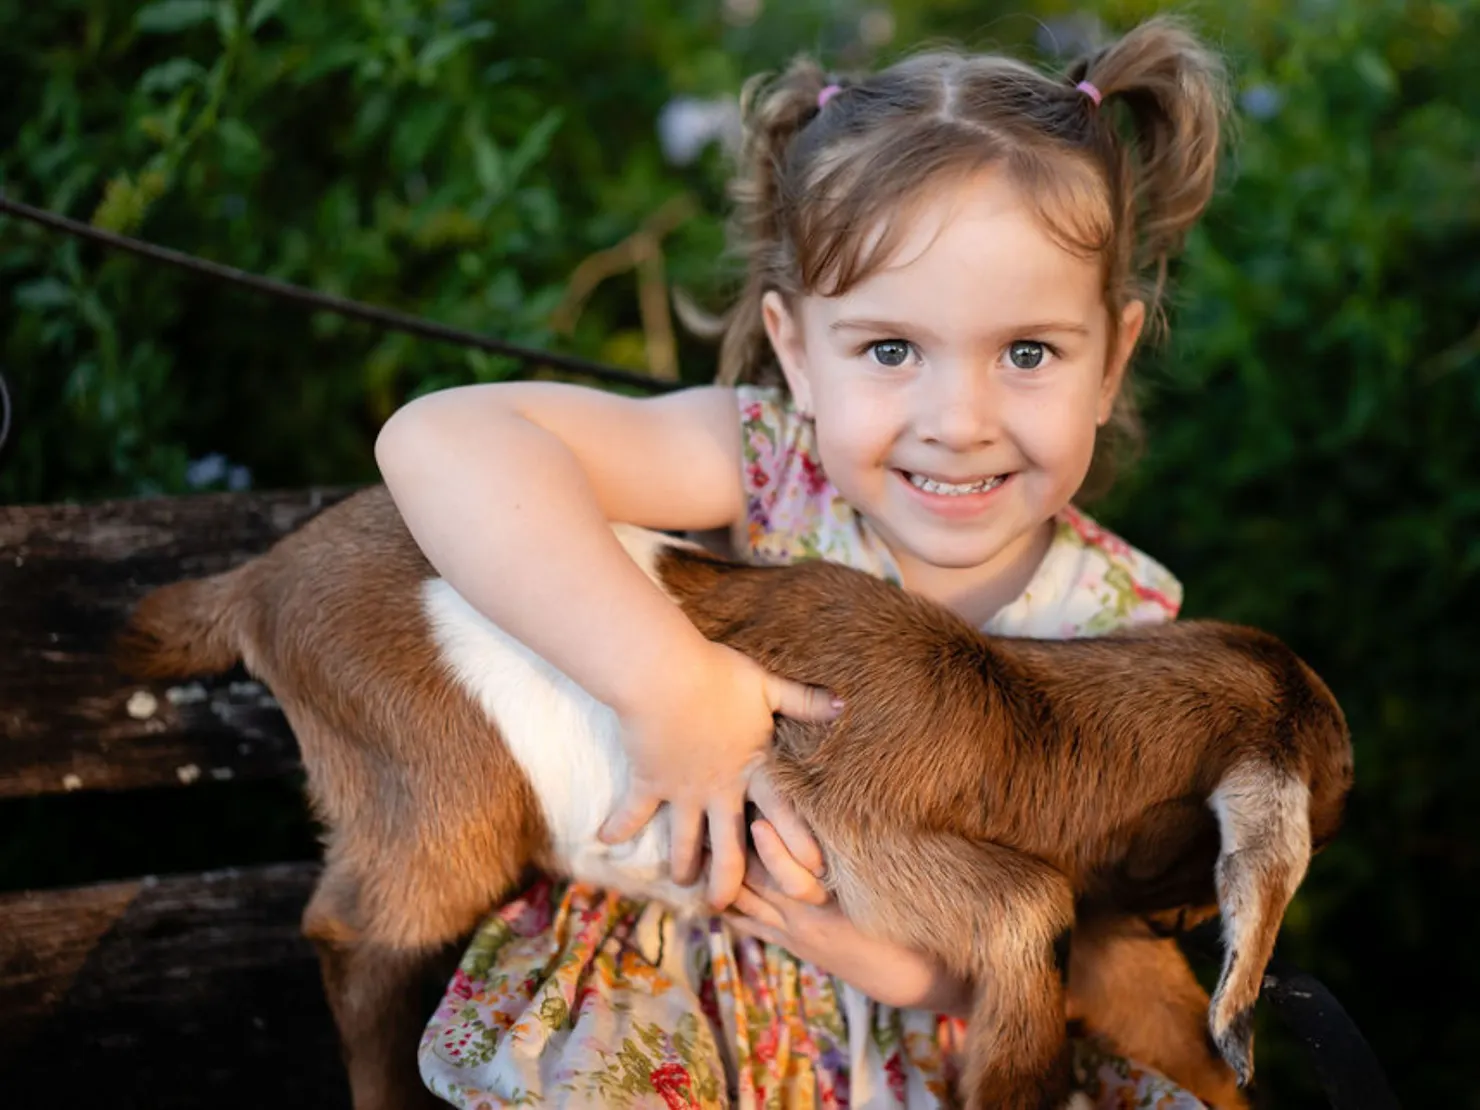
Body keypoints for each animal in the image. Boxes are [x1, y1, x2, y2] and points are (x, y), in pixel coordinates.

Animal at [118, 491, 1355, 1110]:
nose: (1185, 918)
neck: (1016, 715)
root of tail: (256, 581)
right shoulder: (855, 816)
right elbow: (1025, 908)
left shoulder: (1107, 939)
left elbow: (1173, 1031)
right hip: (427, 774)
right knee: (358, 925)